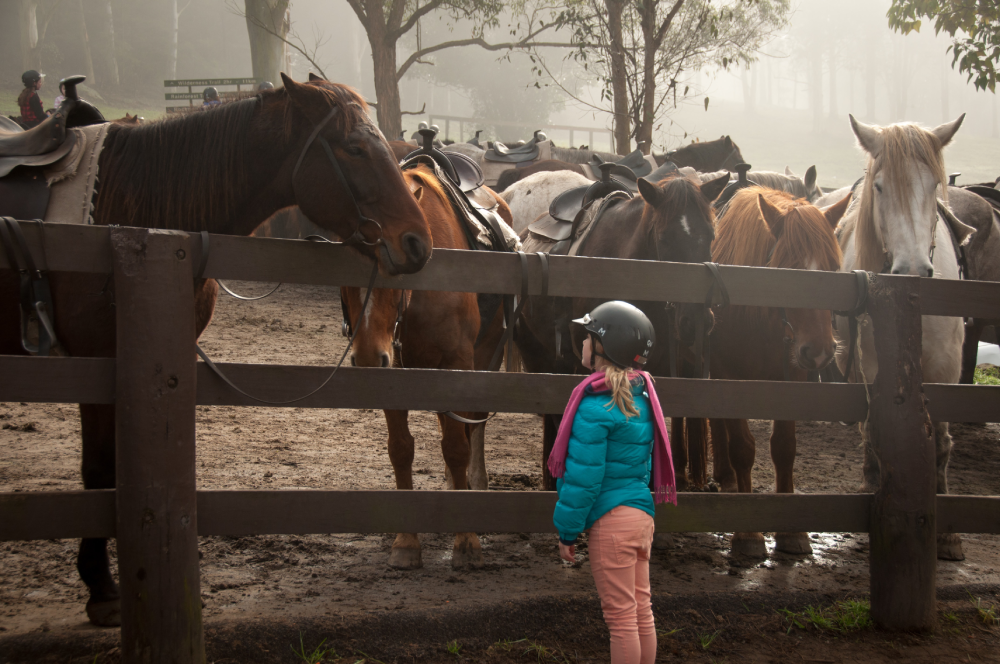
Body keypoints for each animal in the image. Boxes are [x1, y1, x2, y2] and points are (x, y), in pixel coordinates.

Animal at [0, 75, 430, 624]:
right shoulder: (96, 364)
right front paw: (100, 588)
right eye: (354, 148)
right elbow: (97, 472)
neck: (132, 214)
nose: (418, 243)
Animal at [340, 162, 508, 572]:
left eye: (397, 267)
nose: (367, 358)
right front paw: (406, 541)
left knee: (472, 428)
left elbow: (457, 447)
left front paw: (466, 540)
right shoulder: (396, 373)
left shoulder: (458, 365)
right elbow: (401, 449)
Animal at [700, 189, 848, 556]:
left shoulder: (791, 379)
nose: (820, 350)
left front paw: (792, 533)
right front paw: (748, 535)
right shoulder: (729, 379)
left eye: (834, 269)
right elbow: (743, 448)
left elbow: (784, 447)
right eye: (788, 270)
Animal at [836, 114, 968, 560]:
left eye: (933, 184)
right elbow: (879, 430)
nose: (912, 269)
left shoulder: (946, 368)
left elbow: (941, 441)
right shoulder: (876, 366)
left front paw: (948, 535)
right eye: (879, 187)